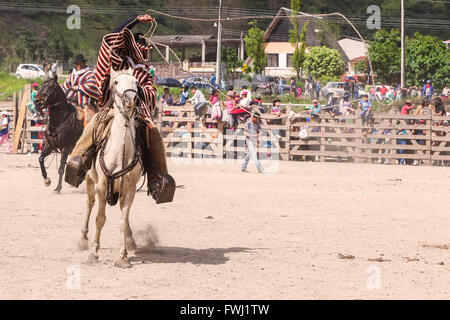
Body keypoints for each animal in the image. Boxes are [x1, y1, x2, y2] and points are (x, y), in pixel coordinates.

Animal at [78, 69, 142, 268]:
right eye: (116, 82)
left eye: (136, 82)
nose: (130, 99)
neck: (119, 154)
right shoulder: (102, 185)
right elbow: (100, 219)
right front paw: (94, 253)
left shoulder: (130, 189)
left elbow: (123, 222)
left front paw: (123, 257)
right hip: (90, 181)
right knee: (89, 204)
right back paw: (83, 239)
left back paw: (131, 241)